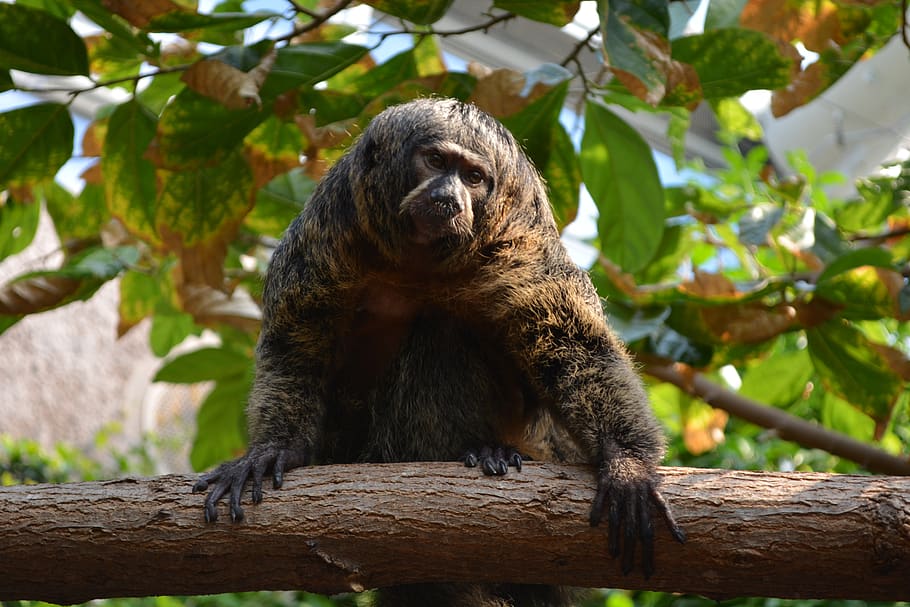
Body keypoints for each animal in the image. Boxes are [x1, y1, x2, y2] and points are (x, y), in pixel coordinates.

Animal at [193, 97, 685, 606]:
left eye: (474, 177)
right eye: (434, 161)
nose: (448, 197)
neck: (419, 264)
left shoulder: (523, 246)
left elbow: (572, 345)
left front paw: (626, 464)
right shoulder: (323, 234)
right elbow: (296, 346)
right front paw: (273, 450)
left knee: (443, 331)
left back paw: (487, 449)